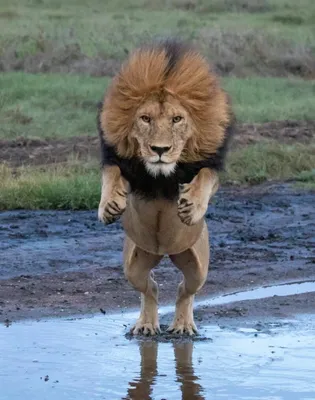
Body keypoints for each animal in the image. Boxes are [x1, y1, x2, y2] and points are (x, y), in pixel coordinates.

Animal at [98, 39, 235, 336]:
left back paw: (183, 325)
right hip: (134, 265)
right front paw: (109, 206)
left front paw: (191, 207)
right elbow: (110, 173)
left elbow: (206, 177)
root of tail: (163, 253)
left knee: (186, 289)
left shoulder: (208, 164)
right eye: (145, 119)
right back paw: (146, 325)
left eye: (177, 119)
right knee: (151, 287)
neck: (160, 175)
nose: (159, 150)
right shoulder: (126, 167)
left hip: (197, 266)